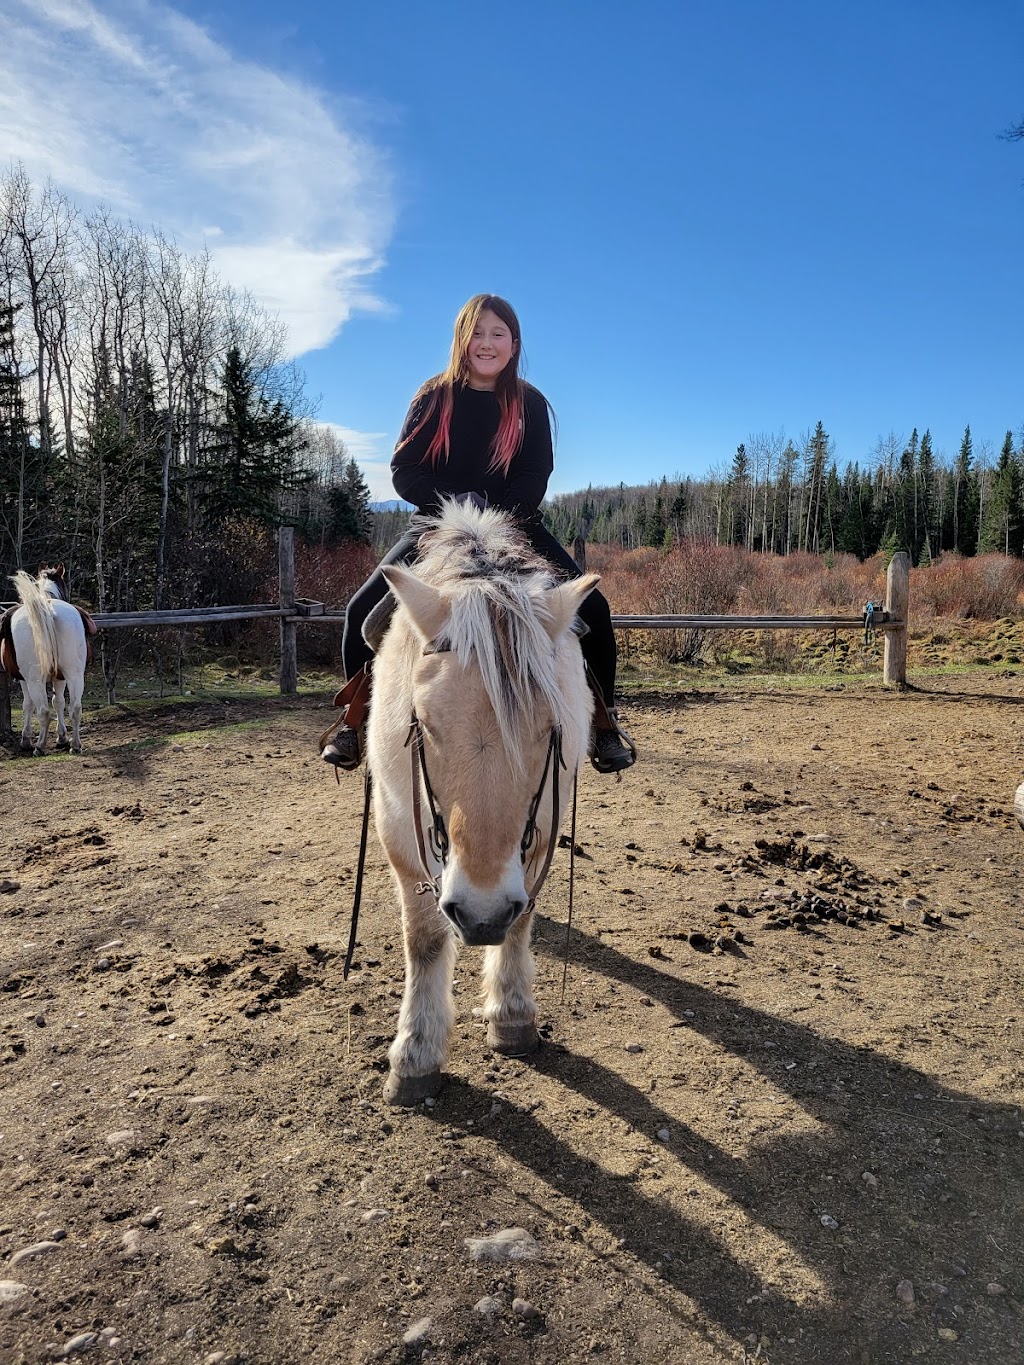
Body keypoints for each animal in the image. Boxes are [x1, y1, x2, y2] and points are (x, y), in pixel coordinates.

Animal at [2, 565, 89, 758]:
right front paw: (62, 738)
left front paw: (26, 740)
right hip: (74, 674)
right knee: (76, 707)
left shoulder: (23, 679)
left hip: (35, 679)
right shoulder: (60, 677)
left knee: (43, 711)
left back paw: (39, 746)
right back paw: (75, 745)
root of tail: (48, 611)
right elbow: (59, 702)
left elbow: (28, 705)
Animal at [368, 502, 598, 1108]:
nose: (481, 915)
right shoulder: (398, 823)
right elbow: (424, 939)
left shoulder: (543, 823)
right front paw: (415, 1055)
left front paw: (512, 1015)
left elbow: (524, 916)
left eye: (550, 729)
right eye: (423, 723)